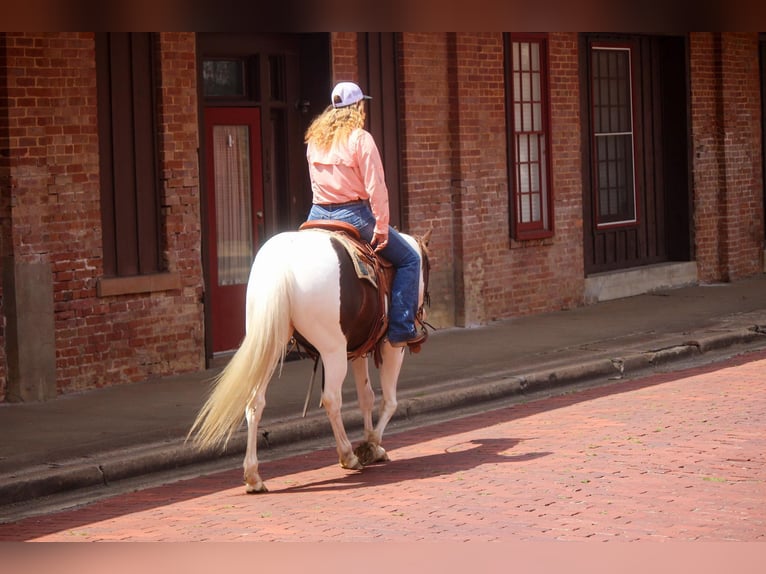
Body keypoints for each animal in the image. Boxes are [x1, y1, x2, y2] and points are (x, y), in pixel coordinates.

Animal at [188, 226, 432, 496]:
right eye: (428, 267)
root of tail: (284, 262)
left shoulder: (358, 349)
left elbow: (366, 397)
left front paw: (371, 443)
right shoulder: (391, 346)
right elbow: (389, 401)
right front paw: (371, 445)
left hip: (269, 344)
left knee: (254, 402)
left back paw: (253, 476)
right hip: (333, 350)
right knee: (331, 399)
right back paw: (348, 455)